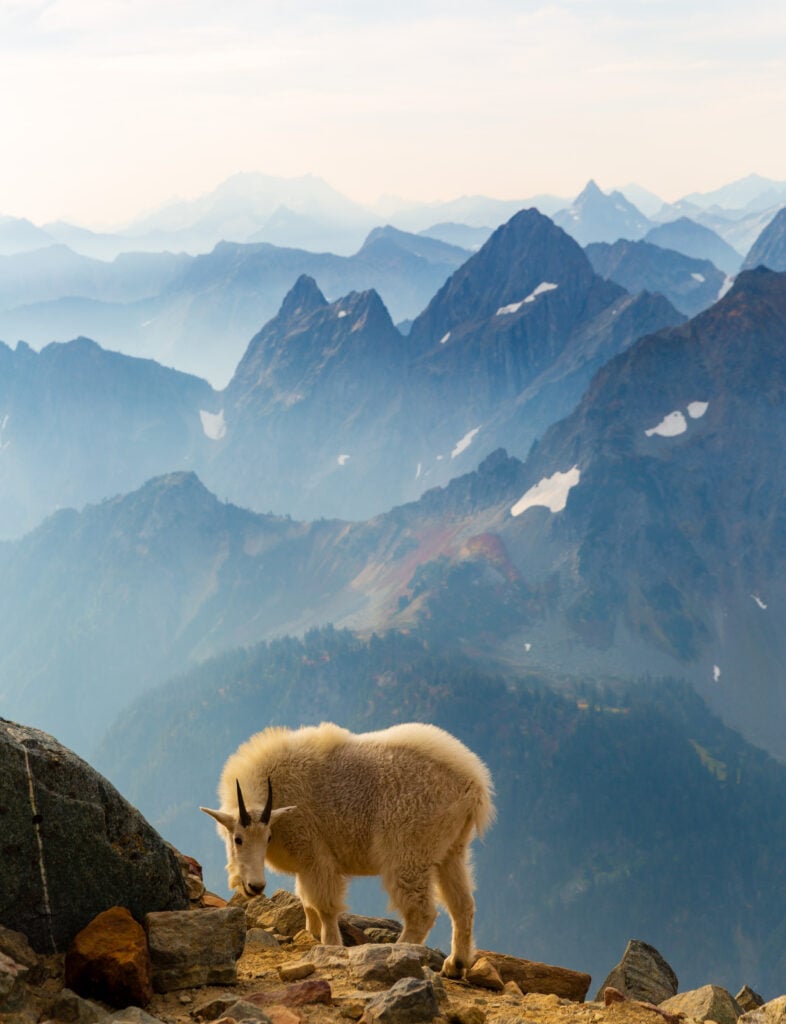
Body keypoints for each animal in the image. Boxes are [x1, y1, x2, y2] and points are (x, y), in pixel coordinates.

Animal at [201, 721, 494, 976]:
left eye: (268, 837)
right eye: (238, 839)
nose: (255, 886)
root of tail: (473, 784)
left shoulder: (316, 854)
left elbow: (324, 905)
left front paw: (330, 944)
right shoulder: (305, 865)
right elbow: (306, 901)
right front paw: (311, 932)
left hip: (409, 851)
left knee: (421, 912)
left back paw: (399, 950)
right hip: (452, 850)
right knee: (462, 905)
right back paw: (455, 964)